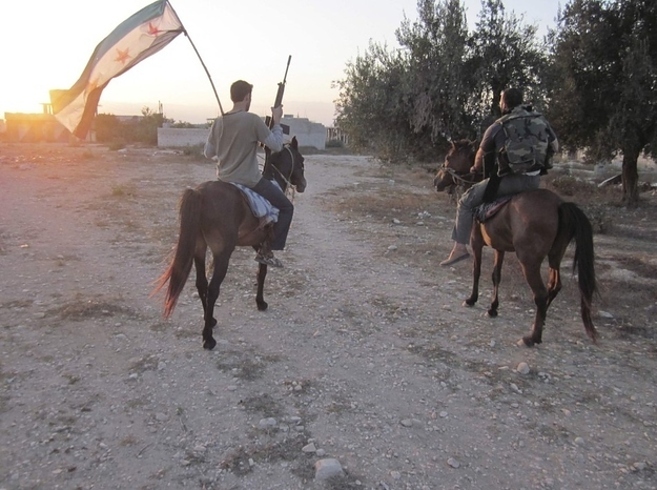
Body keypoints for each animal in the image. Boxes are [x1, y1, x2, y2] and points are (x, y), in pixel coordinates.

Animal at [153, 137, 306, 350]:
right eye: (301, 159)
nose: (303, 185)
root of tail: (199, 193)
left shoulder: (256, 244)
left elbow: (260, 272)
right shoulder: (263, 243)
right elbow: (263, 271)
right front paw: (261, 302)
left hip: (199, 249)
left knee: (201, 283)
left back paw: (210, 321)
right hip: (222, 254)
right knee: (212, 289)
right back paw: (208, 338)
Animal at [433, 139, 598, 347]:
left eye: (448, 157)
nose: (436, 181)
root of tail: (560, 205)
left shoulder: (476, 242)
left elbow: (477, 271)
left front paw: (471, 299)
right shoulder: (500, 247)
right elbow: (496, 275)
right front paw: (492, 308)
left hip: (529, 261)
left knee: (541, 293)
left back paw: (532, 337)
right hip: (555, 255)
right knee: (554, 286)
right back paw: (540, 323)